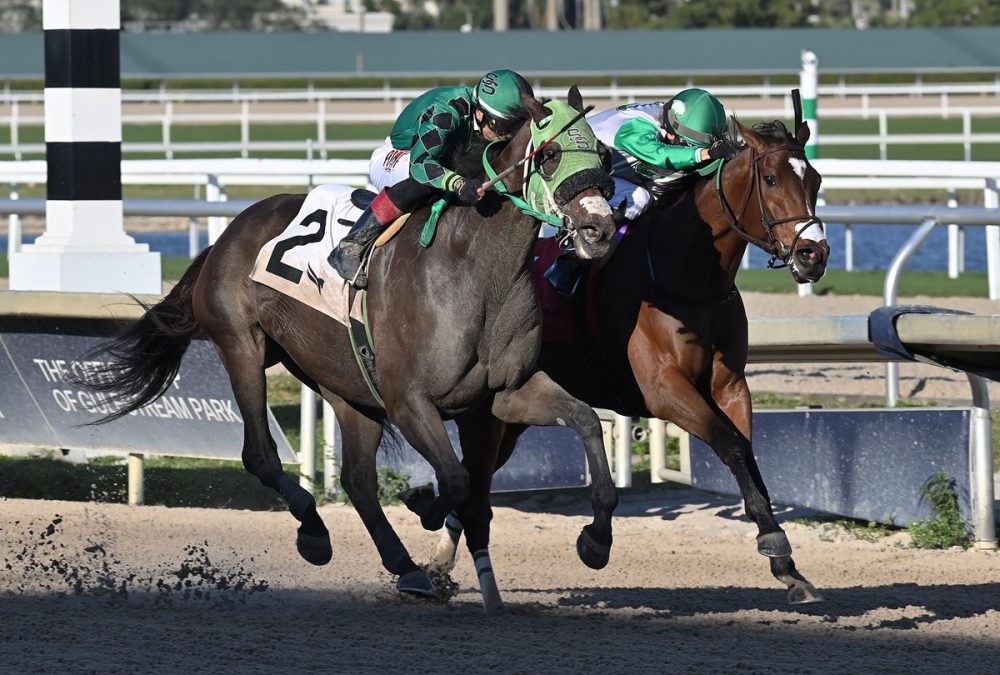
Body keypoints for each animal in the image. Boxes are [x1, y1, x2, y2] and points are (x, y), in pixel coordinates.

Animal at [78, 87, 620, 608]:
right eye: (549, 155)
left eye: (603, 154)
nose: (600, 230)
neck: (475, 272)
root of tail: (228, 233)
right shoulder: (409, 401)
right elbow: (457, 482)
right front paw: (423, 504)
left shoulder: (501, 397)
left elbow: (582, 424)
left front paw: (594, 541)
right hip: (242, 345)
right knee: (260, 454)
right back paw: (315, 533)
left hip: (345, 383)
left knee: (357, 478)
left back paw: (405, 569)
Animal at [430, 117, 828, 608]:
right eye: (770, 179)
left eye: (816, 180)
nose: (814, 255)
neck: (687, 278)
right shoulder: (664, 389)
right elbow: (731, 445)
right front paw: (597, 539)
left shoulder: (730, 386)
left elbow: (747, 454)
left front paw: (787, 566)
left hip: (511, 413)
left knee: (478, 474)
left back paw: (438, 565)